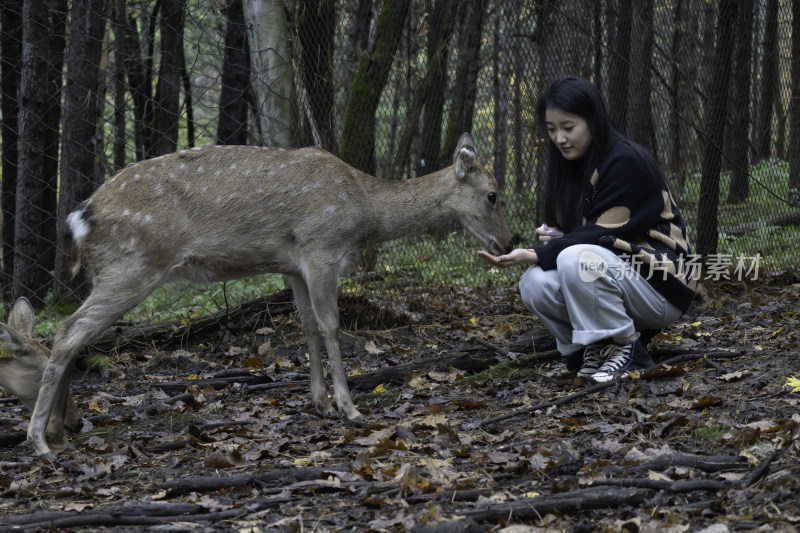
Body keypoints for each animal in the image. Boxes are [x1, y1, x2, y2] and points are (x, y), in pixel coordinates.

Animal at [0, 133, 510, 458]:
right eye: (493, 194)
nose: (507, 242)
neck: (365, 211)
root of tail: (80, 217)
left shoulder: (292, 265)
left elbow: (307, 325)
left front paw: (320, 402)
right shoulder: (321, 245)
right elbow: (331, 324)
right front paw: (349, 407)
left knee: (68, 338)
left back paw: (58, 429)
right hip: (132, 265)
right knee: (70, 331)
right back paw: (38, 440)